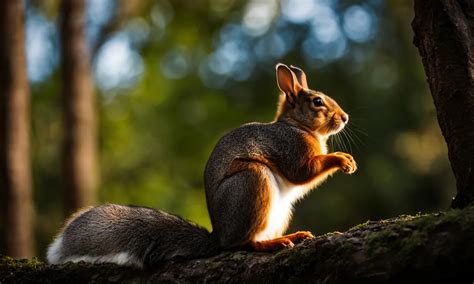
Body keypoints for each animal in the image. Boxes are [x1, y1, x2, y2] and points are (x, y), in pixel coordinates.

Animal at [47, 62, 356, 268]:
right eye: (317, 101)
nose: (345, 117)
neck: (297, 127)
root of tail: (218, 236)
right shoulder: (289, 148)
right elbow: (303, 172)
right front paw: (342, 160)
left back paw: (294, 234)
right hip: (252, 182)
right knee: (242, 243)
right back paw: (272, 243)